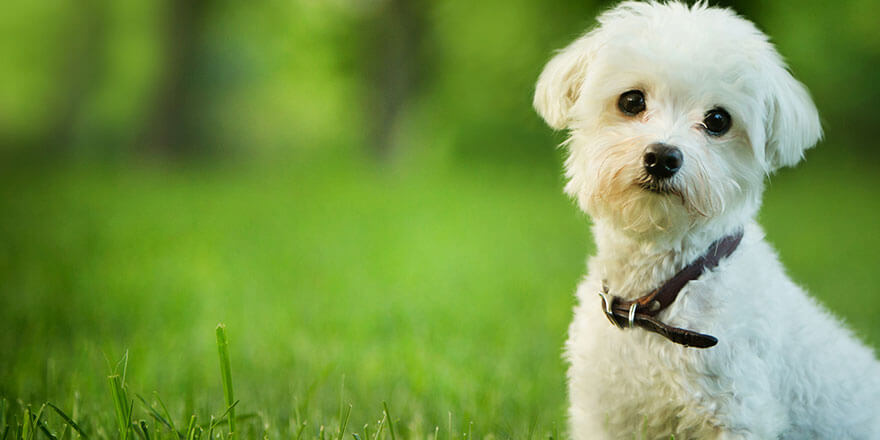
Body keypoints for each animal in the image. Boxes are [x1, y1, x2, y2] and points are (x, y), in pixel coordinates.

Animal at [532, 1, 880, 438]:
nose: (662, 157)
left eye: (717, 120)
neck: (660, 296)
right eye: (631, 101)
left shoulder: (740, 412)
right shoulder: (604, 414)